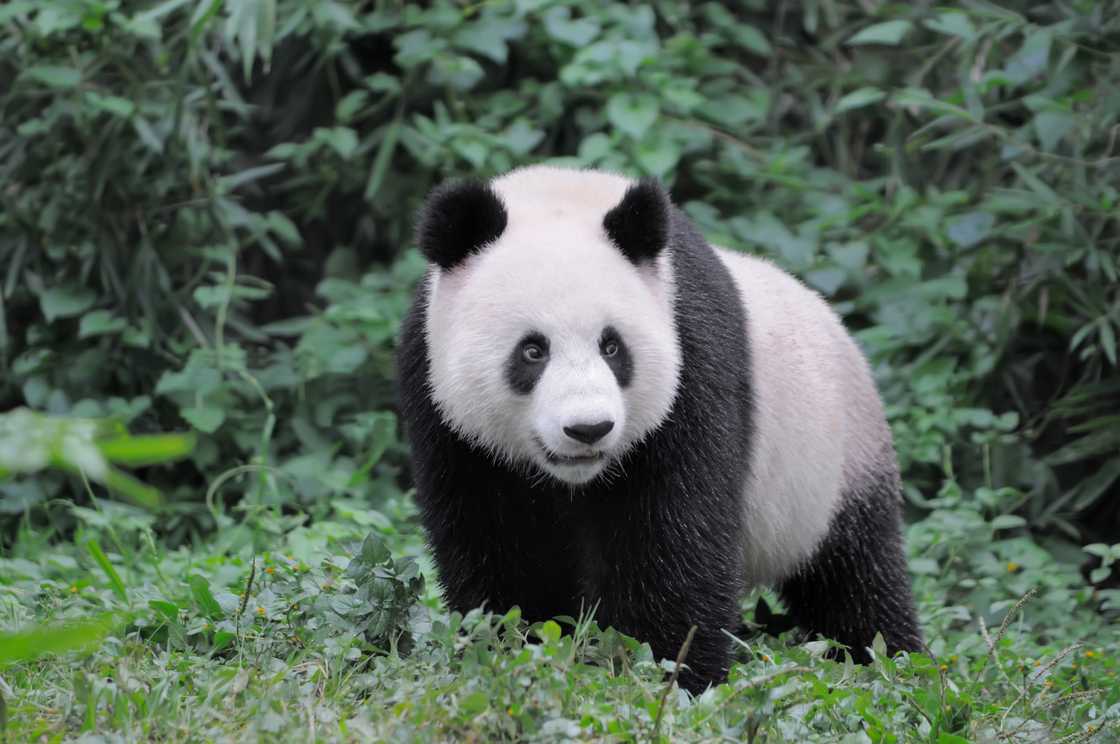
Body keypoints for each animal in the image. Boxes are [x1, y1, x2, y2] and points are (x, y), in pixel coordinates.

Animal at [398, 162, 922, 690]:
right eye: (532, 350)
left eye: (612, 347)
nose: (588, 429)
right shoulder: (443, 408)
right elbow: (497, 544)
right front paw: (511, 651)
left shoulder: (692, 363)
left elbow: (674, 540)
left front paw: (672, 672)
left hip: (834, 460)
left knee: (854, 575)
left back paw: (887, 659)